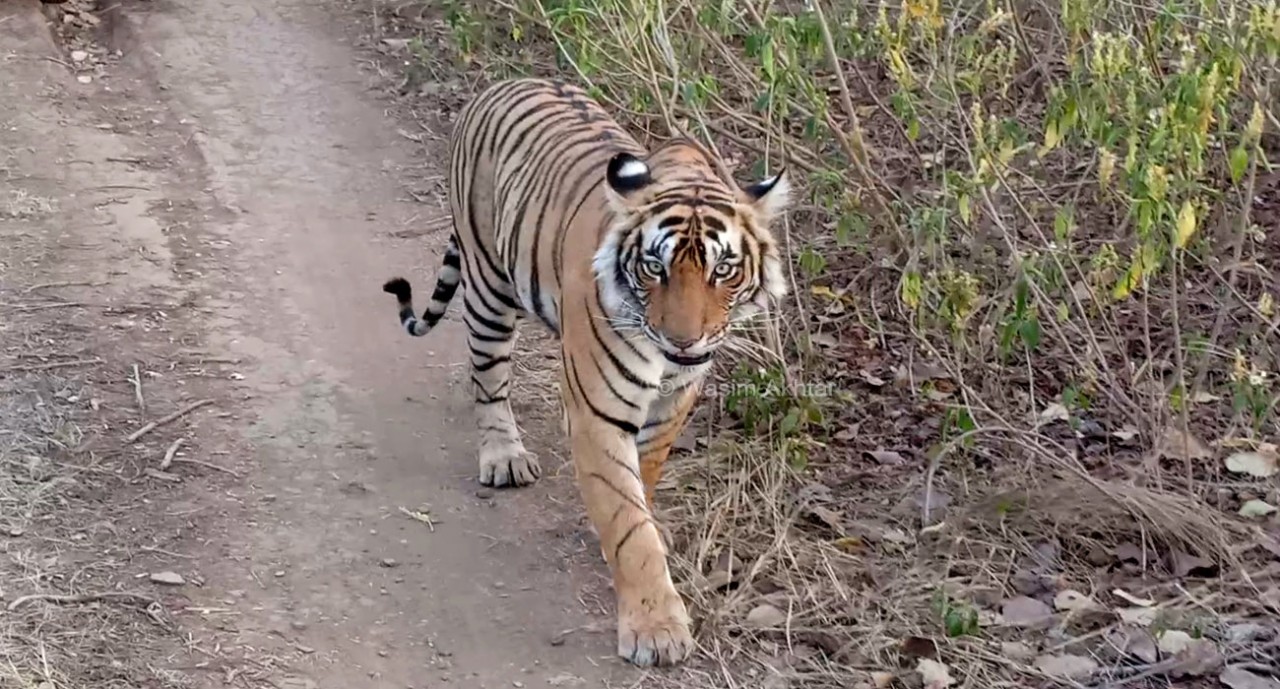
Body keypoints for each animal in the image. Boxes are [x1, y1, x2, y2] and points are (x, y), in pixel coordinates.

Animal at [381, 77, 788, 660]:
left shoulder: (675, 400)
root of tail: (501, 83)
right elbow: (628, 522)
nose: (682, 341)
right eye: (655, 267)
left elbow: (643, 476)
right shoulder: (599, 410)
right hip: (487, 287)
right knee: (488, 379)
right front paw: (655, 628)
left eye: (724, 269)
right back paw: (504, 457)